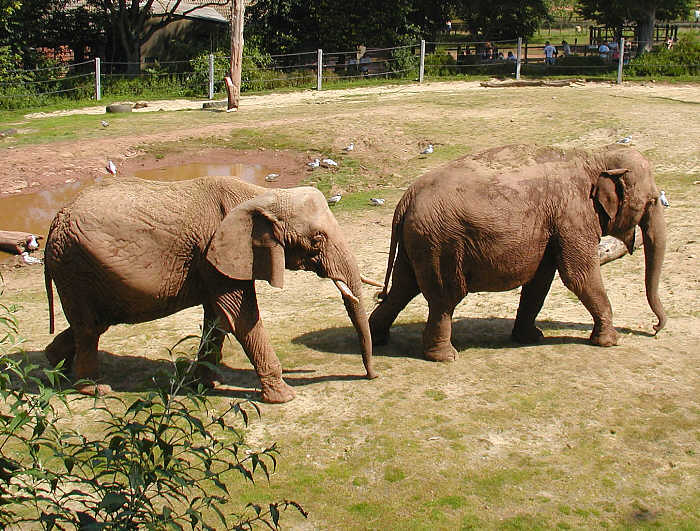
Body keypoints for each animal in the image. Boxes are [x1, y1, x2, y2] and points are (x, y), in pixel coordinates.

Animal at [43, 176, 378, 404]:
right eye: (317, 239)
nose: (371, 376)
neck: (262, 196)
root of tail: (53, 222)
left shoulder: (215, 261)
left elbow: (218, 319)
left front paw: (206, 385)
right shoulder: (214, 252)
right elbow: (241, 318)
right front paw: (283, 397)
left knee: (93, 325)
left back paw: (55, 365)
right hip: (75, 266)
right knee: (90, 328)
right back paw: (93, 388)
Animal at [370, 145, 664, 362]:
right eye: (651, 201)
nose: (655, 329)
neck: (594, 158)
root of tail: (406, 199)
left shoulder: (551, 227)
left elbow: (540, 281)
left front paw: (532, 337)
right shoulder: (572, 215)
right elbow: (578, 275)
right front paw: (610, 342)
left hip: (419, 242)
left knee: (402, 288)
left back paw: (377, 339)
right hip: (441, 243)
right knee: (444, 298)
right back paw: (445, 357)